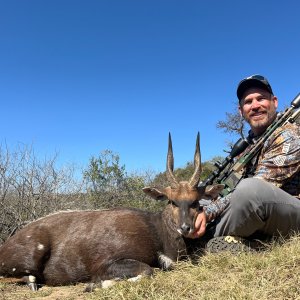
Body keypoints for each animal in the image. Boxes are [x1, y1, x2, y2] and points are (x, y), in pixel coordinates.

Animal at [0, 133, 223, 290]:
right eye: (172, 201)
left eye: (195, 202)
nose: (185, 228)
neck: (156, 231)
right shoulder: (106, 264)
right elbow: (148, 271)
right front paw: (95, 285)